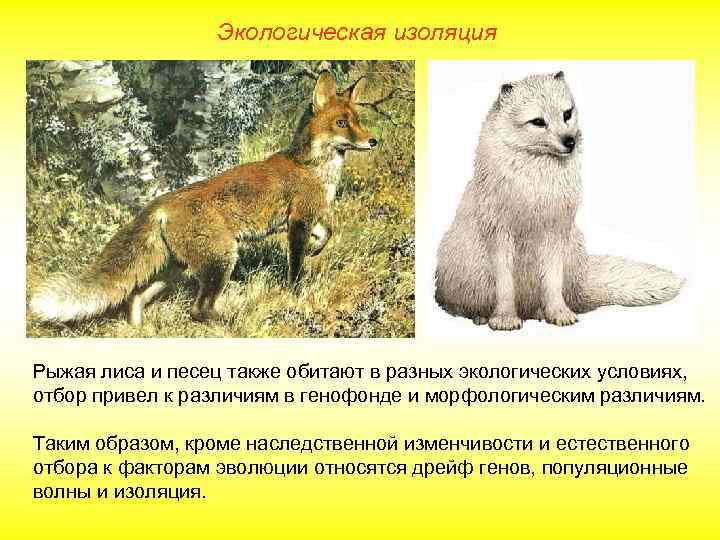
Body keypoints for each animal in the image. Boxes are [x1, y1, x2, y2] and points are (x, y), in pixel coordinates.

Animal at [30, 70, 377, 326]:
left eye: (359, 120)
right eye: (342, 123)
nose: (373, 140)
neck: (314, 168)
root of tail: (161, 203)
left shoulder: (304, 218)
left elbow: (328, 233)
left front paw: (317, 249)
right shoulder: (299, 221)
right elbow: (295, 268)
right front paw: (295, 294)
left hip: (174, 269)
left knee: (136, 297)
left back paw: (139, 329)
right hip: (220, 260)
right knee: (197, 310)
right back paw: (231, 321)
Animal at [435, 71, 684, 331]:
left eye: (567, 114)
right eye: (538, 122)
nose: (570, 141)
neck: (536, 186)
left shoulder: (555, 232)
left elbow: (553, 281)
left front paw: (558, 313)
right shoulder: (500, 234)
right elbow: (504, 285)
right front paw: (504, 318)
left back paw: (540, 312)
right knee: (457, 305)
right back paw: (481, 316)